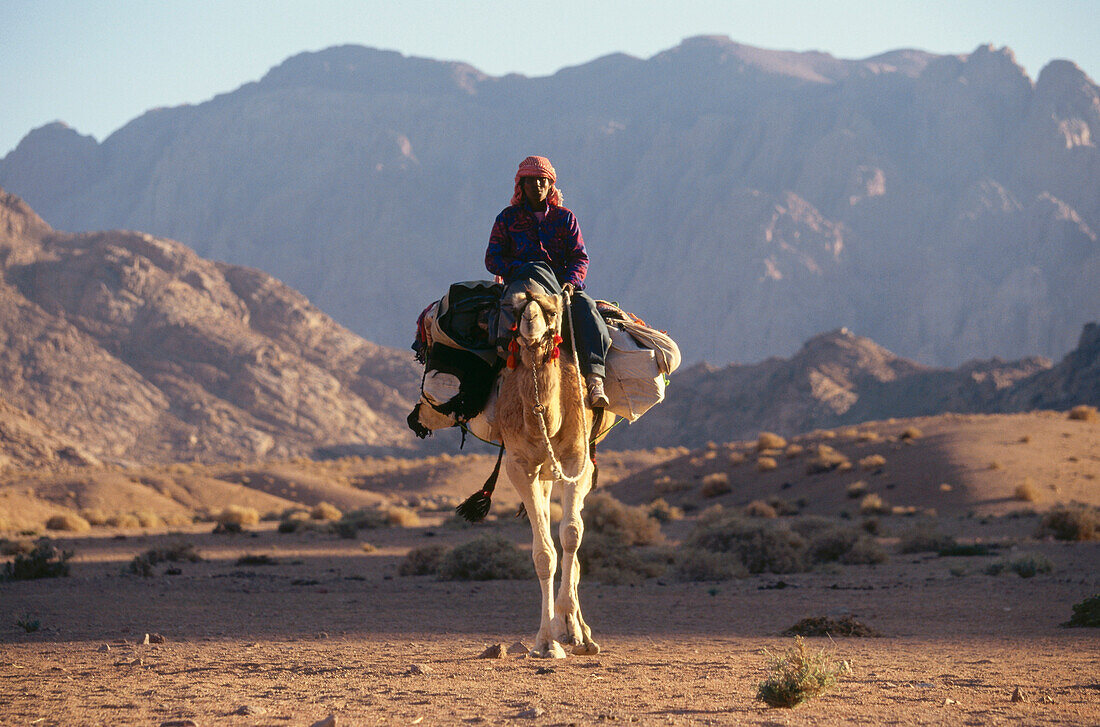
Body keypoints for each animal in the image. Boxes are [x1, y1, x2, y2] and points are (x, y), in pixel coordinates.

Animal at [492, 285, 607, 659]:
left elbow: (571, 534)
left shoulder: (577, 460)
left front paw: (571, 632)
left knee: (576, 539)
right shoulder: (520, 466)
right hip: (542, 474)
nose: (530, 321)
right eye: (514, 308)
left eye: (553, 309)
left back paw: (580, 630)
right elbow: (543, 553)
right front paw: (546, 641)